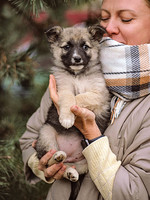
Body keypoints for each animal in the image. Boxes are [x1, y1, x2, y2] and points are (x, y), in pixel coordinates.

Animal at [35, 24, 110, 183]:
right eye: (67, 47)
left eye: (85, 46)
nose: (77, 59)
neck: (78, 75)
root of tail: (70, 155)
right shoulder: (63, 89)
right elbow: (70, 98)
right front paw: (66, 118)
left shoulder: (99, 94)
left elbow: (80, 97)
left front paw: (69, 117)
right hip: (46, 133)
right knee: (52, 163)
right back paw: (59, 157)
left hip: (86, 159)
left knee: (68, 167)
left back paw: (71, 172)